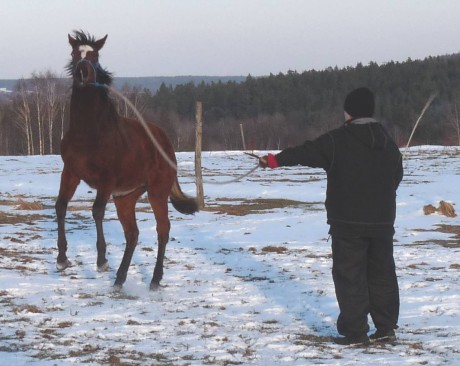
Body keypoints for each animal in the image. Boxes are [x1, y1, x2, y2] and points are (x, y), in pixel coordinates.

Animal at [54, 30, 199, 290]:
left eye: (95, 55)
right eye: (74, 53)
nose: (83, 74)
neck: (89, 131)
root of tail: (166, 144)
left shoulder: (106, 179)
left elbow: (97, 211)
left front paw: (101, 261)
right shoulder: (70, 172)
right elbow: (61, 206)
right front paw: (62, 259)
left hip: (156, 192)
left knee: (163, 230)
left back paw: (155, 279)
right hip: (126, 197)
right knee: (133, 234)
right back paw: (120, 278)